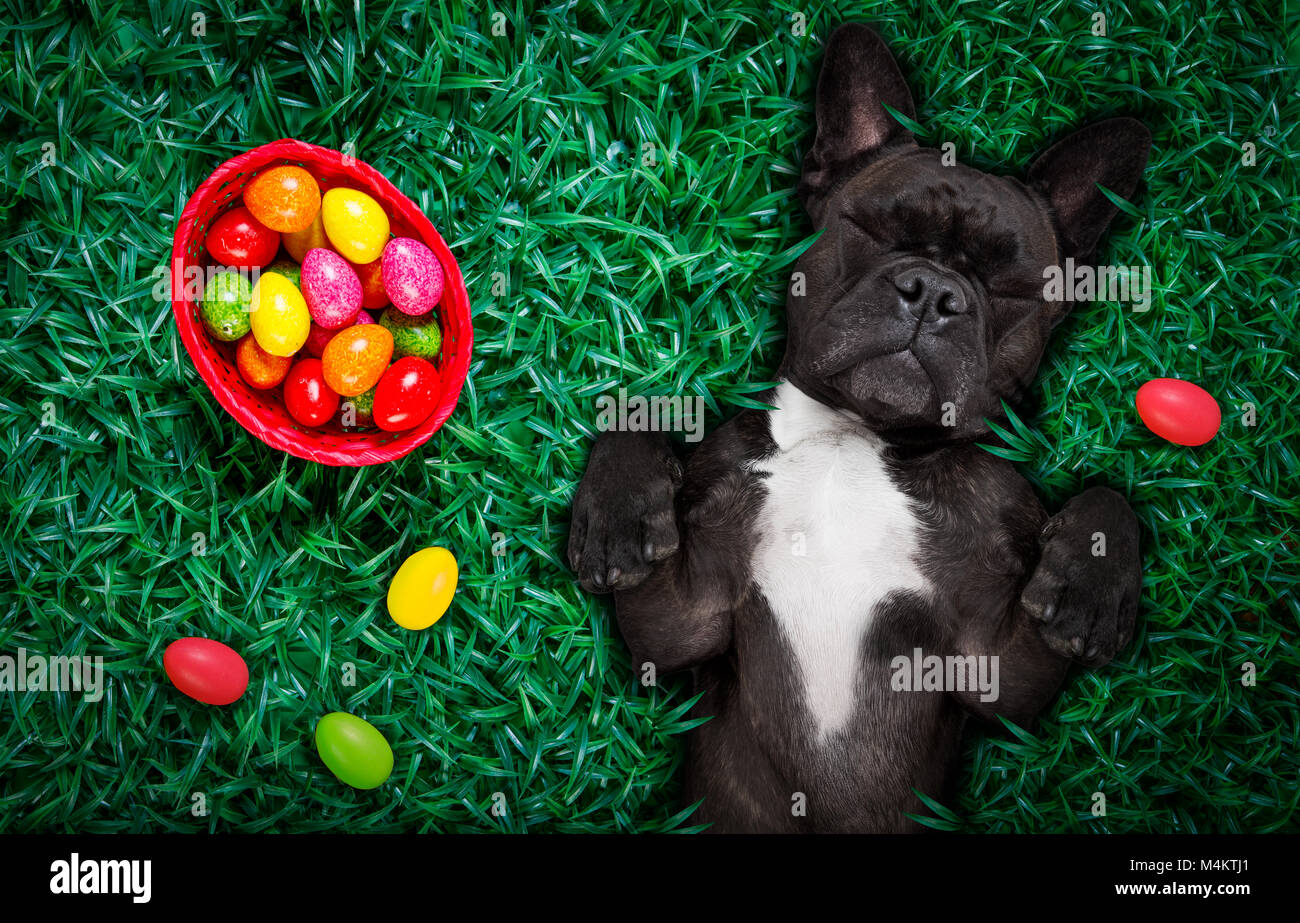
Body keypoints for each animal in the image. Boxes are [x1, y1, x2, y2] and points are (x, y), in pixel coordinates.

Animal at [569, 21, 1149, 837]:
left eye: (1008, 284)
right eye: (876, 229)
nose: (933, 291)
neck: (856, 436)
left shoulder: (994, 663)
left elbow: (1107, 498)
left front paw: (1092, 583)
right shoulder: (683, 620)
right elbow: (632, 425)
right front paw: (619, 514)